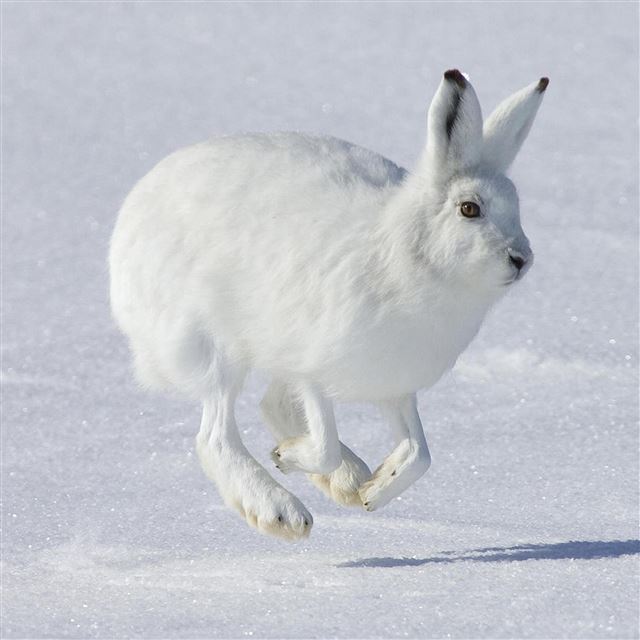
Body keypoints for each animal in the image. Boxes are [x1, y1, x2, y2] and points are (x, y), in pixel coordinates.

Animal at [109, 69, 548, 541]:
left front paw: (374, 490)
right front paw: (288, 459)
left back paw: (350, 481)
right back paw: (280, 511)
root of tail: (131, 216)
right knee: (215, 436)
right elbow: (324, 445)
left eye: (516, 207)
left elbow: (420, 453)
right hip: (215, 345)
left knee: (271, 407)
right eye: (469, 209)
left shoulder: (395, 385)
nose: (521, 258)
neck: (408, 256)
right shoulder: (312, 368)